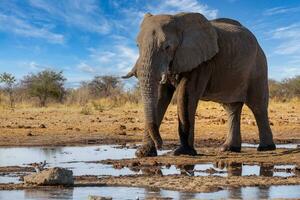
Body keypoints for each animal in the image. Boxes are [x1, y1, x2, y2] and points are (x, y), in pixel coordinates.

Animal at [122, 12, 276, 158]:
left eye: (167, 47)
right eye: (137, 46)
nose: (161, 144)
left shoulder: (201, 62)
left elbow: (185, 96)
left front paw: (182, 152)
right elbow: (161, 97)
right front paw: (143, 153)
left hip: (258, 66)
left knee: (258, 106)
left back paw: (266, 148)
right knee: (232, 108)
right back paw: (229, 149)